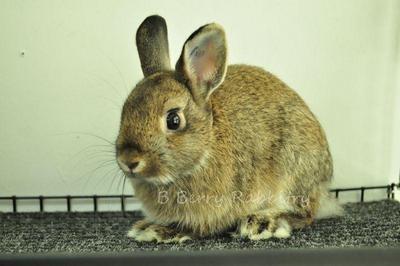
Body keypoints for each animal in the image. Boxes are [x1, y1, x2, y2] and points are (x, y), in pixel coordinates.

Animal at [115, 15, 340, 243]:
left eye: (173, 120)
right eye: (125, 111)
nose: (128, 160)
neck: (207, 146)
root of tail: (324, 182)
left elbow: (197, 228)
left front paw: (155, 230)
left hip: (293, 172)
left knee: (305, 214)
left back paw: (261, 222)